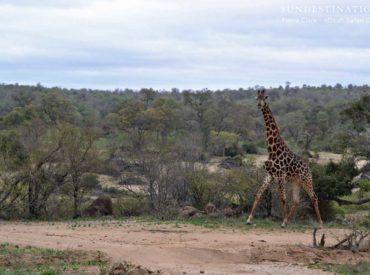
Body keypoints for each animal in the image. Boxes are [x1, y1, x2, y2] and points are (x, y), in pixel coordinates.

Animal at [247, 89, 322, 227]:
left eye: (265, 98)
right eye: (256, 98)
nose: (259, 105)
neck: (272, 150)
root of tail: (309, 168)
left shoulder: (280, 175)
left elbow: (283, 198)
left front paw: (282, 221)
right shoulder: (269, 174)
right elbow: (258, 194)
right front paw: (249, 219)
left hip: (306, 180)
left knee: (314, 197)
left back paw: (320, 223)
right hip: (296, 182)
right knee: (296, 200)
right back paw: (288, 221)